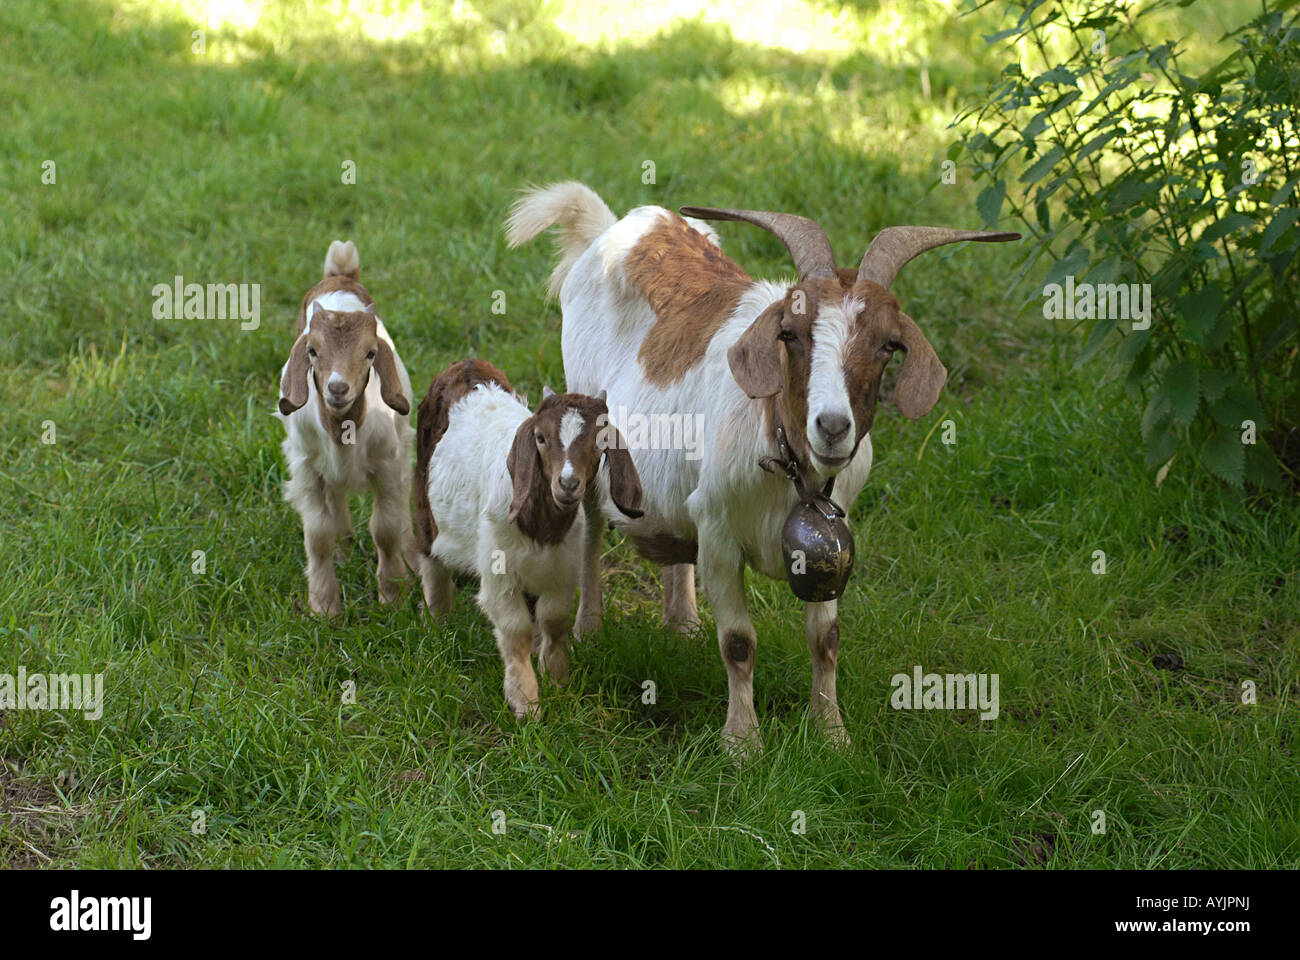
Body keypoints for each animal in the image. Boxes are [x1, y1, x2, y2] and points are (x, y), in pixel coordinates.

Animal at [276, 240, 416, 616]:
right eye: (312, 351)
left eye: (370, 354)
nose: (337, 389)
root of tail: (340, 275)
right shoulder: (306, 468)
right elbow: (318, 535)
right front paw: (324, 606)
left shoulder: (386, 462)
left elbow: (385, 529)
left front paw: (393, 595)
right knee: (335, 498)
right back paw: (345, 548)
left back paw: (412, 556)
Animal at [414, 359, 643, 719]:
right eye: (540, 437)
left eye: (600, 441)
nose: (568, 484)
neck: (541, 526)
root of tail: (465, 364)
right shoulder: (499, 569)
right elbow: (515, 629)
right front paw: (525, 703)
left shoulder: (561, 569)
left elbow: (553, 620)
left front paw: (557, 681)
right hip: (425, 501)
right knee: (430, 558)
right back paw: (437, 622)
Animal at [507, 182, 1018, 750]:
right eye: (790, 333)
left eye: (889, 344)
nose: (832, 426)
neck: (782, 451)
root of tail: (619, 225)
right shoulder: (720, 533)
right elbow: (738, 642)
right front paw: (742, 742)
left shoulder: (828, 539)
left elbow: (825, 638)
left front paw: (831, 732)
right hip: (590, 432)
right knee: (594, 526)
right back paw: (589, 626)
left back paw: (683, 623)